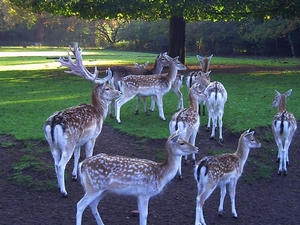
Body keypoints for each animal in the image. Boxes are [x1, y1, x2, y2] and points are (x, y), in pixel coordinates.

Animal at [44, 42, 121, 197]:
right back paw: (63, 191)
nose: (119, 92)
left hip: (53, 145)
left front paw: (75, 175)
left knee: (55, 163)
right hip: (68, 144)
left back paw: (58, 185)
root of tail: (54, 122)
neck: (99, 113)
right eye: (108, 88)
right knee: (61, 165)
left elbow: (77, 156)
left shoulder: (79, 141)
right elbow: (87, 155)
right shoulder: (92, 137)